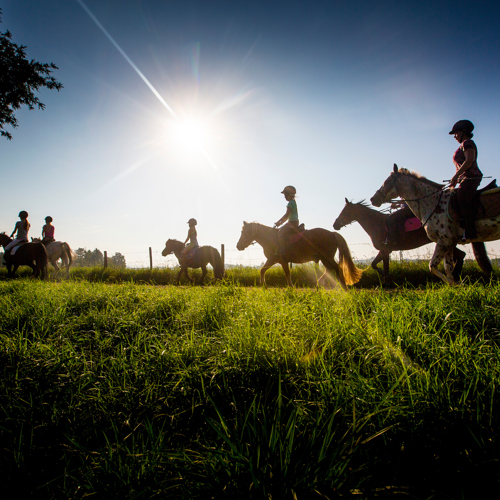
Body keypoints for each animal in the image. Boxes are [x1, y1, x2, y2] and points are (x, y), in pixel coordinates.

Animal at [235, 223, 364, 290]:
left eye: (245, 232)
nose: (238, 246)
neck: (271, 238)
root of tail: (332, 233)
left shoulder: (280, 260)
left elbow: (287, 273)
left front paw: (291, 287)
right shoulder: (272, 260)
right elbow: (262, 270)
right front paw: (263, 285)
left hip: (326, 257)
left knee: (336, 268)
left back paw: (344, 287)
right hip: (324, 258)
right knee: (329, 269)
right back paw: (319, 284)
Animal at [332, 198, 492, 286]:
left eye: (346, 211)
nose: (335, 224)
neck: (377, 223)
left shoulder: (386, 249)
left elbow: (384, 266)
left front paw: (387, 281)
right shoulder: (384, 250)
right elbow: (374, 264)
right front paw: (387, 278)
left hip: (445, 242)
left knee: (461, 255)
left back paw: (456, 276)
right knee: (461, 255)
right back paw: (456, 276)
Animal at [372, 163, 500, 284]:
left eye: (387, 182)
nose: (373, 199)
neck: (432, 203)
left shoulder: (444, 241)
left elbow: (432, 266)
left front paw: (457, 283)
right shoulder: (450, 244)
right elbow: (448, 270)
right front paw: (457, 285)